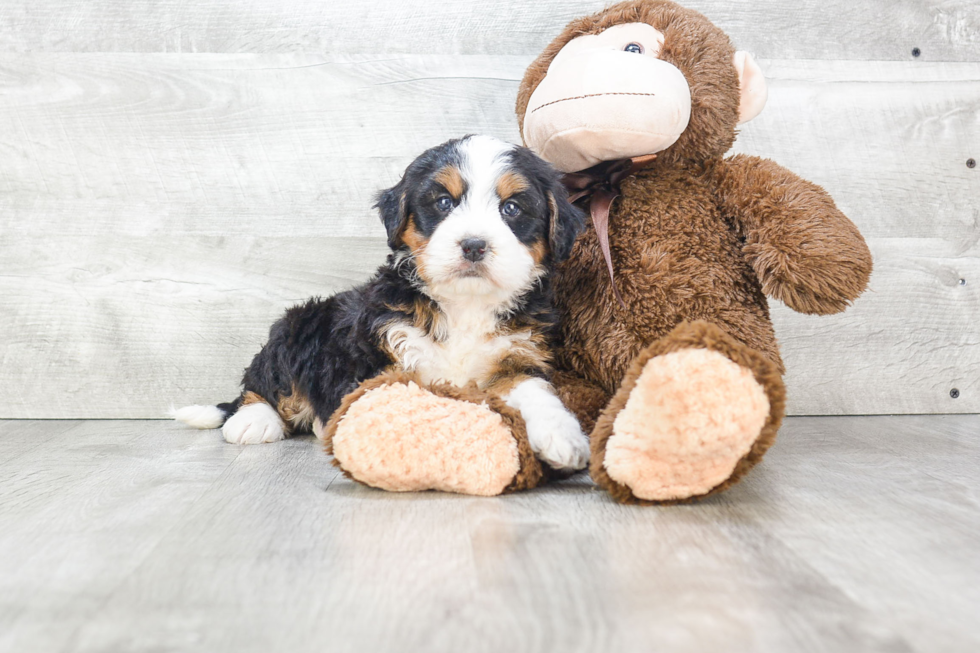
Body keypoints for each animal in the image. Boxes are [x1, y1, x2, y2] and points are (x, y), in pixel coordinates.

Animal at [174, 138, 588, 472]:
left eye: (512, 208)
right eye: (443, 203)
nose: (473, 245)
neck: (463, 304)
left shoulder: (516, 354)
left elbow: (534, 389)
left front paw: (562, 437)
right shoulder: (383, 355)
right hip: (295, 327)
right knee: (263, 382)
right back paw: (254, 420)